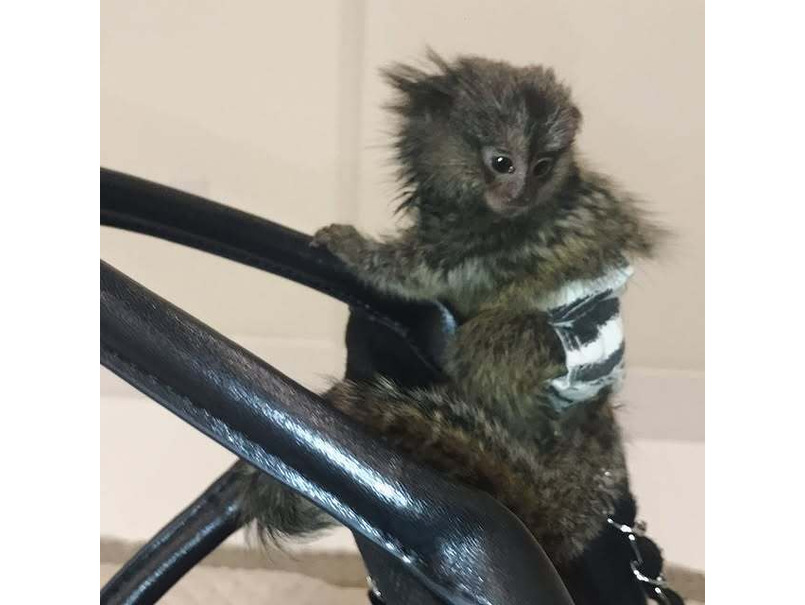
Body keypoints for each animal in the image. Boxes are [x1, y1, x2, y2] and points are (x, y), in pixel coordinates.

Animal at [237, 51, 665, 566]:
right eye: (503, 163)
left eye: (543, 167)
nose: (521, 192)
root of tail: (592, 415)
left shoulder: (481, 246)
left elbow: (415, 274)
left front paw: (349, 246)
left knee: (486, 343)